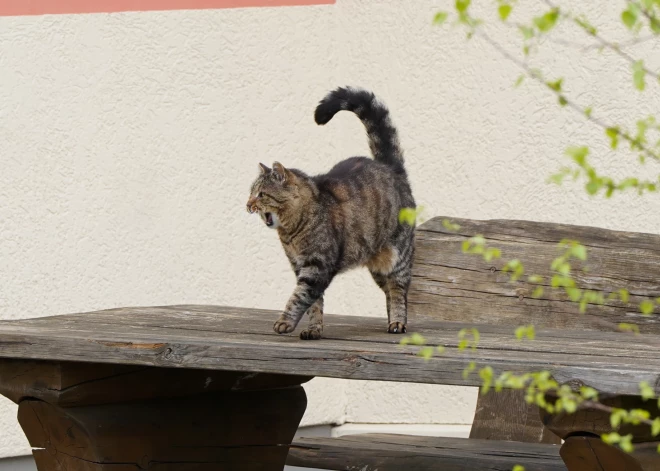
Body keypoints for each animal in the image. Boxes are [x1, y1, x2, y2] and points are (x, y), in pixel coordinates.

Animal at [245, 87, 416, 340]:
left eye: (261, 194)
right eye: (251, 192)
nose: (247, 205)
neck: (291, 231)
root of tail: (390, 167)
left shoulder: (317, 266)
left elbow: (299, 297)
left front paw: (285, 322)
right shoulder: (300, 266)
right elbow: (314, 304)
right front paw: (314, 329)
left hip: (397, 256)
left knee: (398, 290)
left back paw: (397, 323)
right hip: (377, 265)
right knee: (390, 290)